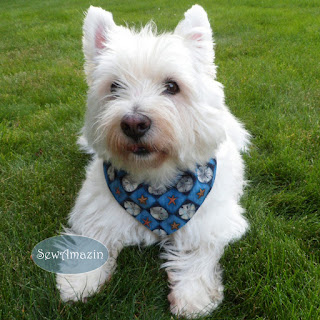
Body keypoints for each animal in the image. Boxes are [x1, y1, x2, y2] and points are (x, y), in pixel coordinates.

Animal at [57, 4, 250, 318]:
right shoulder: (96, 210)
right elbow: (94, 239)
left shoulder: (210, 221)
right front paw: (80, 281)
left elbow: (197, 256)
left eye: (172, 86)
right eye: (114, 86)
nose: (134, 124)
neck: (156, 182)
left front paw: (194, 298)